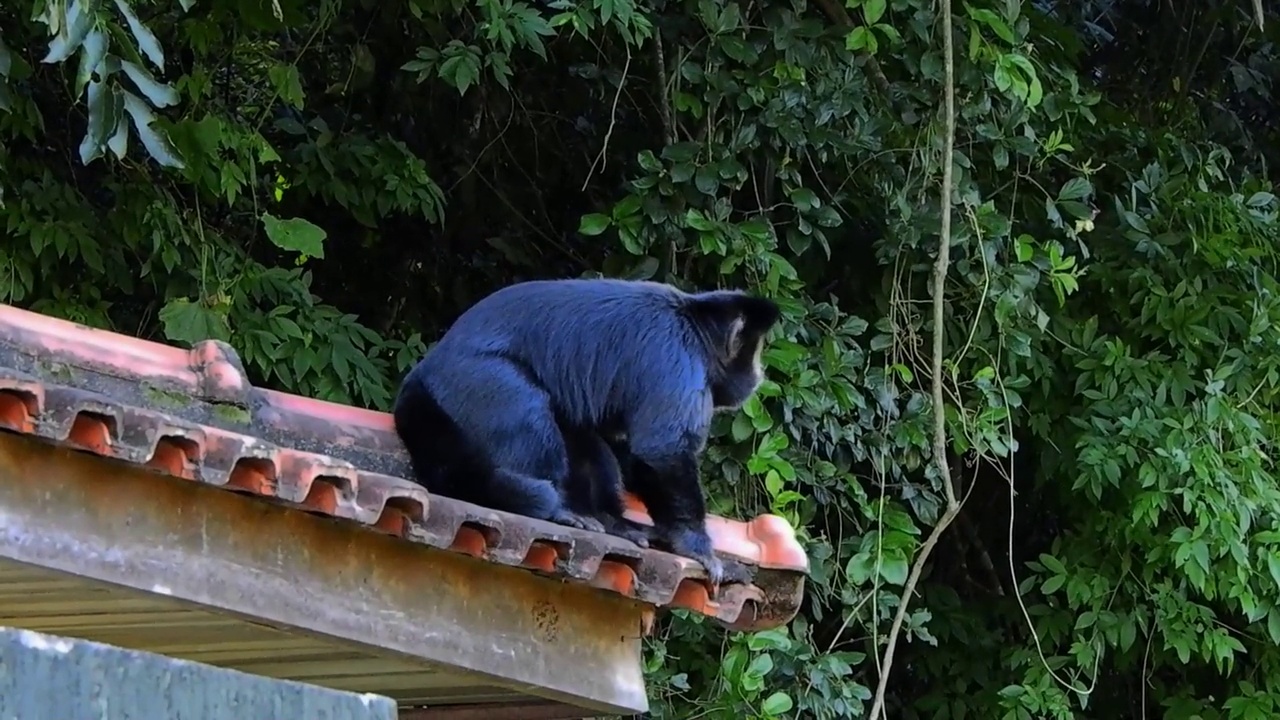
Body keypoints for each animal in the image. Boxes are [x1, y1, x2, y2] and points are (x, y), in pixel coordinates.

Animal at [391, 274, 778, 584]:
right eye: (755, 350)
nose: (759, 373)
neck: (693, 322)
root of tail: (423, 373)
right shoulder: (676, 357)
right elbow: (662, 450)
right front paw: (696, 546)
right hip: (477, 379)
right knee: (528, 408)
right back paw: (561, 511)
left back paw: (610, 518)